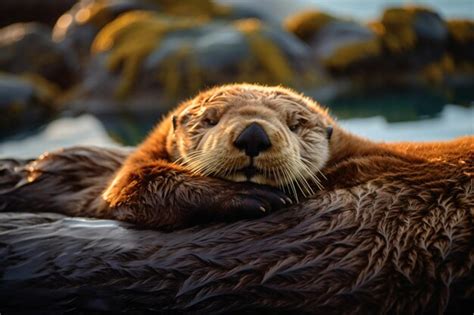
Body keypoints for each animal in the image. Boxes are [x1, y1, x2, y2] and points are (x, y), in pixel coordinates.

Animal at [0, 85, 472, 231]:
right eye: (210, 119)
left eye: (295, 124)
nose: (253, 133)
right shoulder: (131, 170)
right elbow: (139, 186)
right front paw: (252, 200)